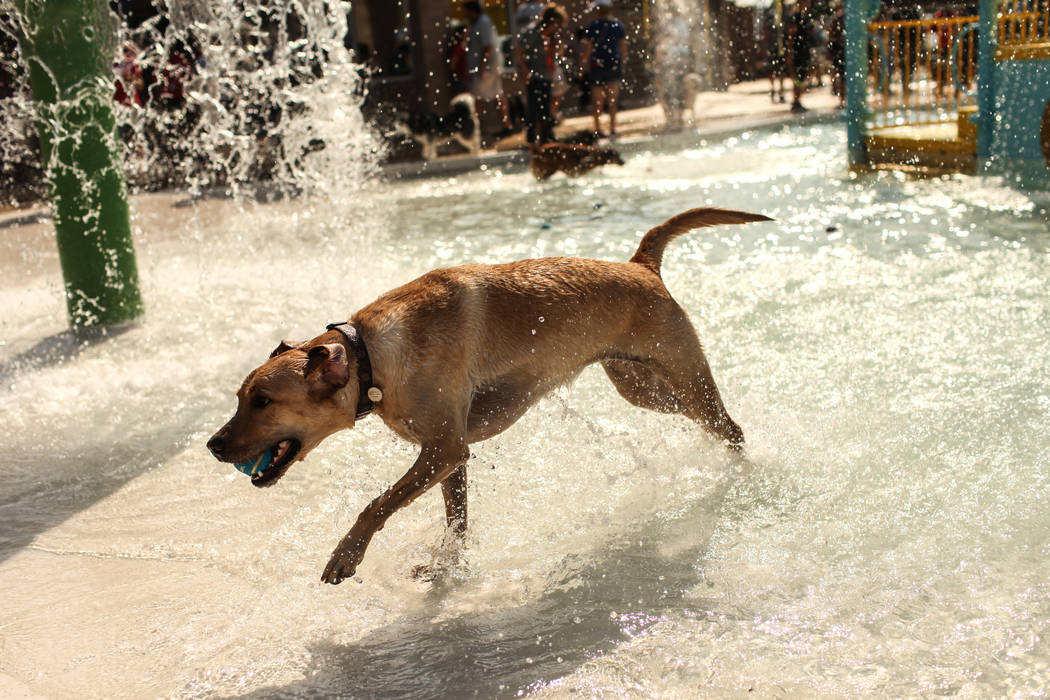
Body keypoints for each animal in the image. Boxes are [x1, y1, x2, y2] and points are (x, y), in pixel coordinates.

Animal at [207, 207, 771, 584]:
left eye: (262, 401)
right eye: (239, 397)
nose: (213, 445)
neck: (372, 355)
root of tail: (640, 265)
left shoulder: (443, 449)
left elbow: (375, 506)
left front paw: (346, 556)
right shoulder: (446, 454)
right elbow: (455, 520)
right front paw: (446, 568)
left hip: (685, 380)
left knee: (730, 425)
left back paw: (742, 474)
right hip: (642, 387)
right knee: (717, 424)